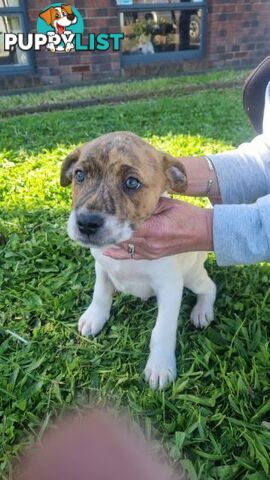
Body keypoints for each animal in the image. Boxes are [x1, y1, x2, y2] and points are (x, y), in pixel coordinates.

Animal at [60, 132, 216, 390]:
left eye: (132, 183)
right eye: (80, 175)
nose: (86, 224)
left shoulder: (170, 288)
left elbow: (162, 330)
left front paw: (160, 366)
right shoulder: (101, 268)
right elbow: (100, 294)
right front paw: (94, 317)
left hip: (192, 277)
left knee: (210, 287)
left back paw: (202, 311)